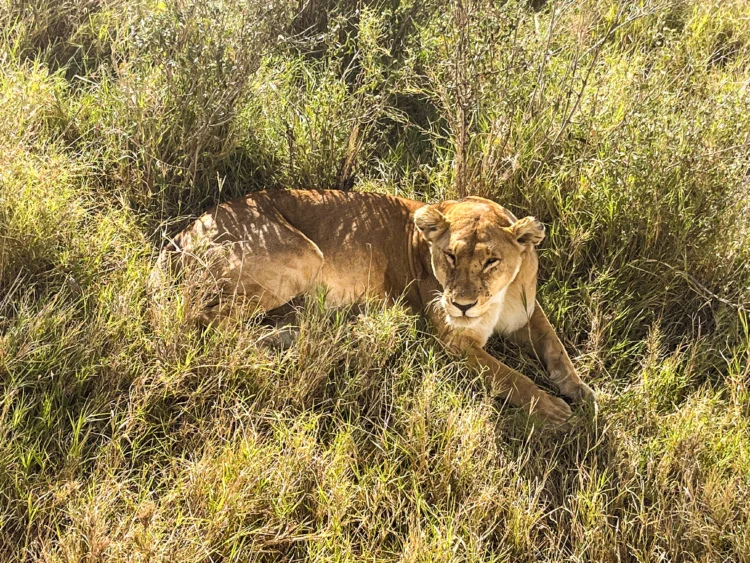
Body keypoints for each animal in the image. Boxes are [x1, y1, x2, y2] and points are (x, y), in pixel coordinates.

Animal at [152, 189, 595, 426]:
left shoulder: (527, 313)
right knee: (208, 325)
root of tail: (181, 234)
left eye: (491, 261)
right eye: (450, 256)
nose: (463, 304)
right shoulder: (451, 341)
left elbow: (556, 348)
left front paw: (583, 392)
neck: (498, 299)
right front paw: (554, 410)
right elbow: (508, 376)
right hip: (302, 256)